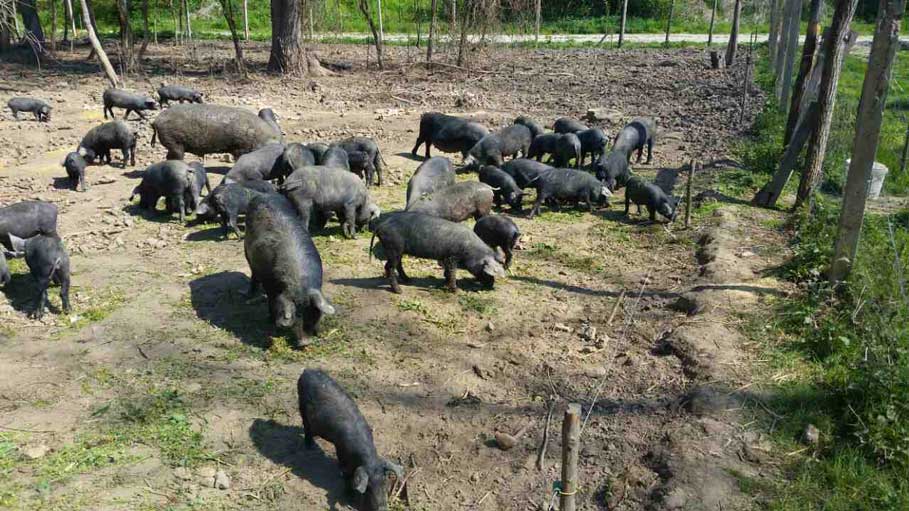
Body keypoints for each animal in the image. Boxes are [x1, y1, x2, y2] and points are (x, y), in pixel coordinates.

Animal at [244, 196, 334, 345]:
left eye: (311, 313)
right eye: (296, 315)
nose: (305, 342)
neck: (299, 282)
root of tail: (262, 196)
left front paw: (319, 333)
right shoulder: (270, 285)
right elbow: (271, 301)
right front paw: (271, 321)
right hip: (247, 252)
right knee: (254, 275)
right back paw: (250, 296)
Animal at [297, 369, 403, 510]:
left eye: (385, 482)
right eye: (369, 487)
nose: (382, 508)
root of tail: (306, 370)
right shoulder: (341, 452)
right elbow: (346, 475)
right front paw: (348, 500)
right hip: (302, 405)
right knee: (306, 426)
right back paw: (310, 446)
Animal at [369, 211, 506, 293]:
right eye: (486, 271)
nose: (491, 286)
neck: (470, 250)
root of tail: (381, 226)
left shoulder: (446, 257)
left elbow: (448, 271)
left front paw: (444, 282)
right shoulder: (452, 256)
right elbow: (453, 272)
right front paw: (455, 290)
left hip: (399, 250)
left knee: (398, 265)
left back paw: (408, 280)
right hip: (393, 248)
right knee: (389, 266)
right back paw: (399, 291)